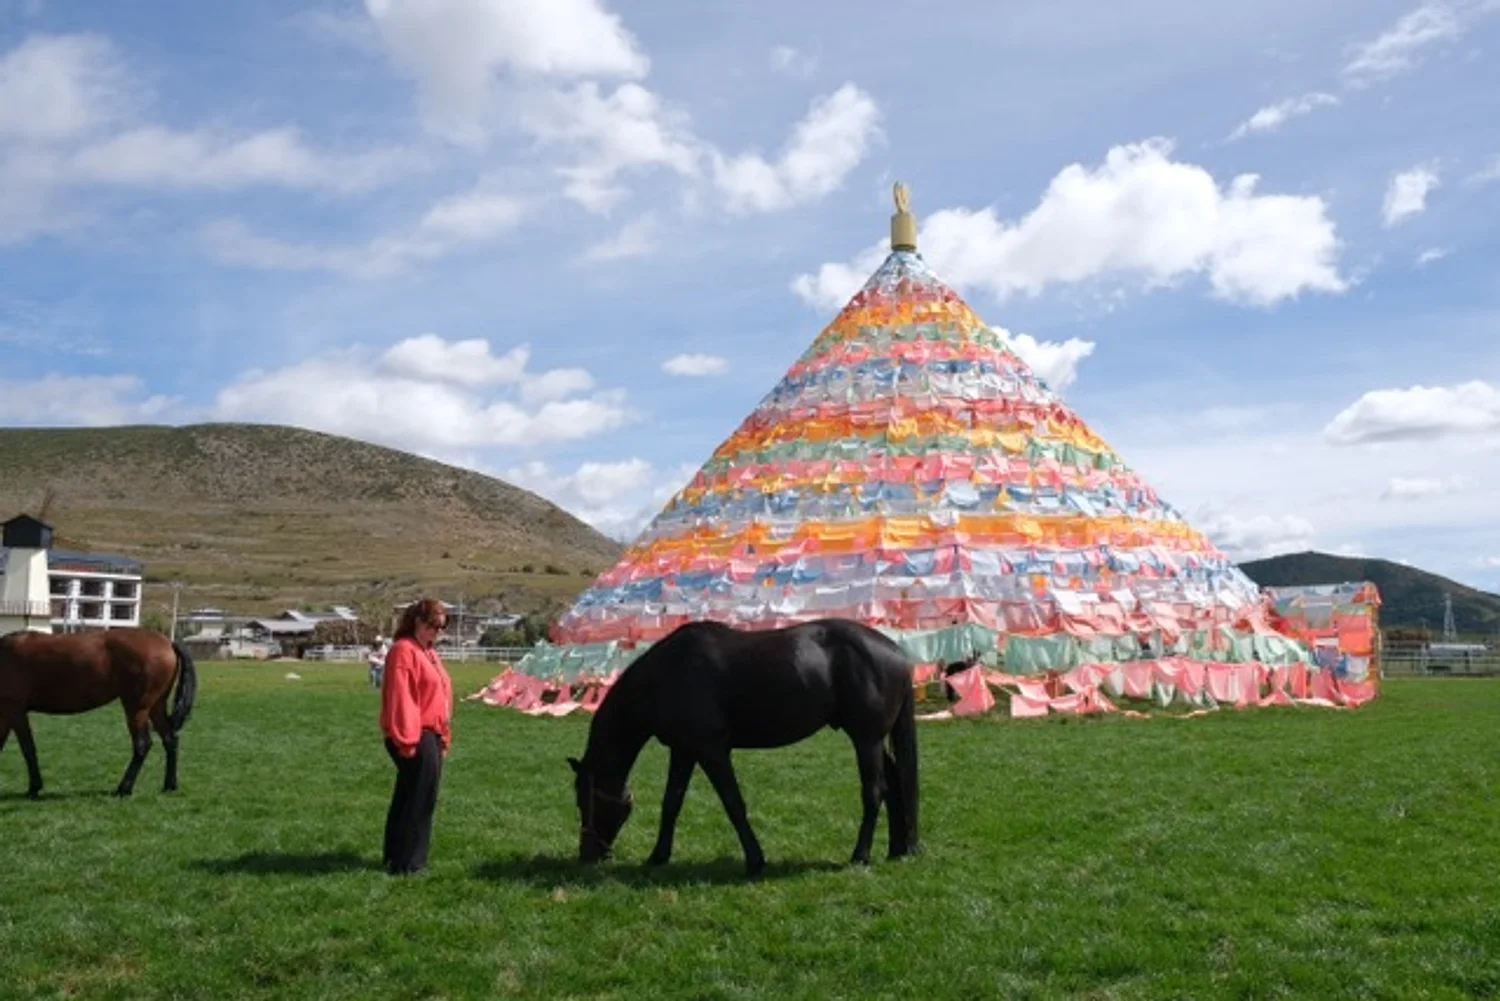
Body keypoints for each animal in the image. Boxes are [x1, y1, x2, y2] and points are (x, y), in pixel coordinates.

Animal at [0, 628, 197, 798]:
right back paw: (169, 785)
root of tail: (168, 642)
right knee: (170, 739)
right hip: (155, 706)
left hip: (137, 709)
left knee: (142, 745)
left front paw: (34, 787)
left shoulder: (14, 711)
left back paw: (124, 789)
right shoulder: (8, 715)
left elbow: (28, 749)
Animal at [568, 618, 919, 877]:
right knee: (895, 785)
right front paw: (658, 856)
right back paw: (897, 850)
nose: (588, 855)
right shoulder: (683, 751)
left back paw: (860, 855)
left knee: (874, 792)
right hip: (872, 740)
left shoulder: (712, 751)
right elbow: (672, 803)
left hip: (866, 740)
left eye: (585, 800)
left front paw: (755, 860)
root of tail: (897, 653)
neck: (666, 675)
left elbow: (733, 803)